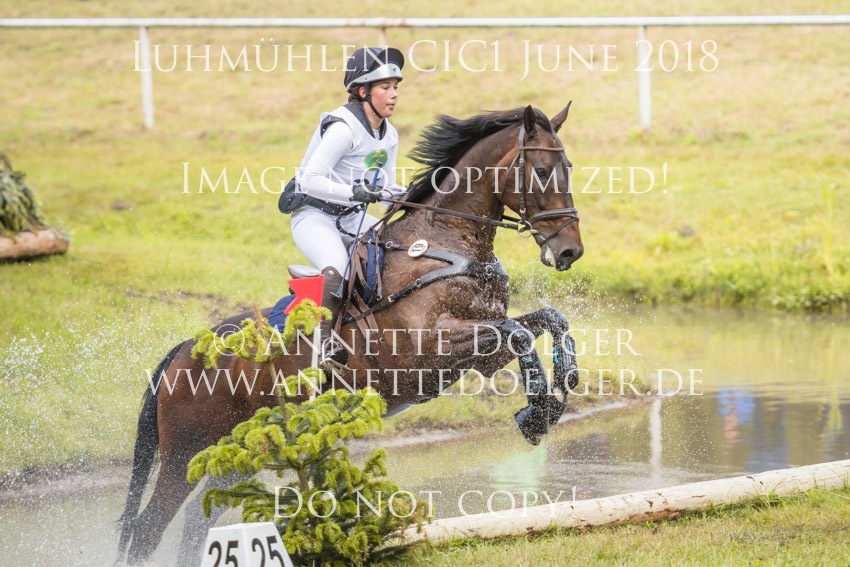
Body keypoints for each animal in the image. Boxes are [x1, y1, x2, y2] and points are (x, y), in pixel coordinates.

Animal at [115, 102, 583, 565]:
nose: (570, 251)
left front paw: (556, 397)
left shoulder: (482, 352)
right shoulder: (428, 351)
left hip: (239, 452)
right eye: (543, 171)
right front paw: (536, 415)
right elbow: (520, 334)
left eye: (569, 168)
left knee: (198, 524)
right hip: (184, 454)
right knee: (148, 529)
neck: (445, 241)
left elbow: (549, 321)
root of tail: (182, 351)